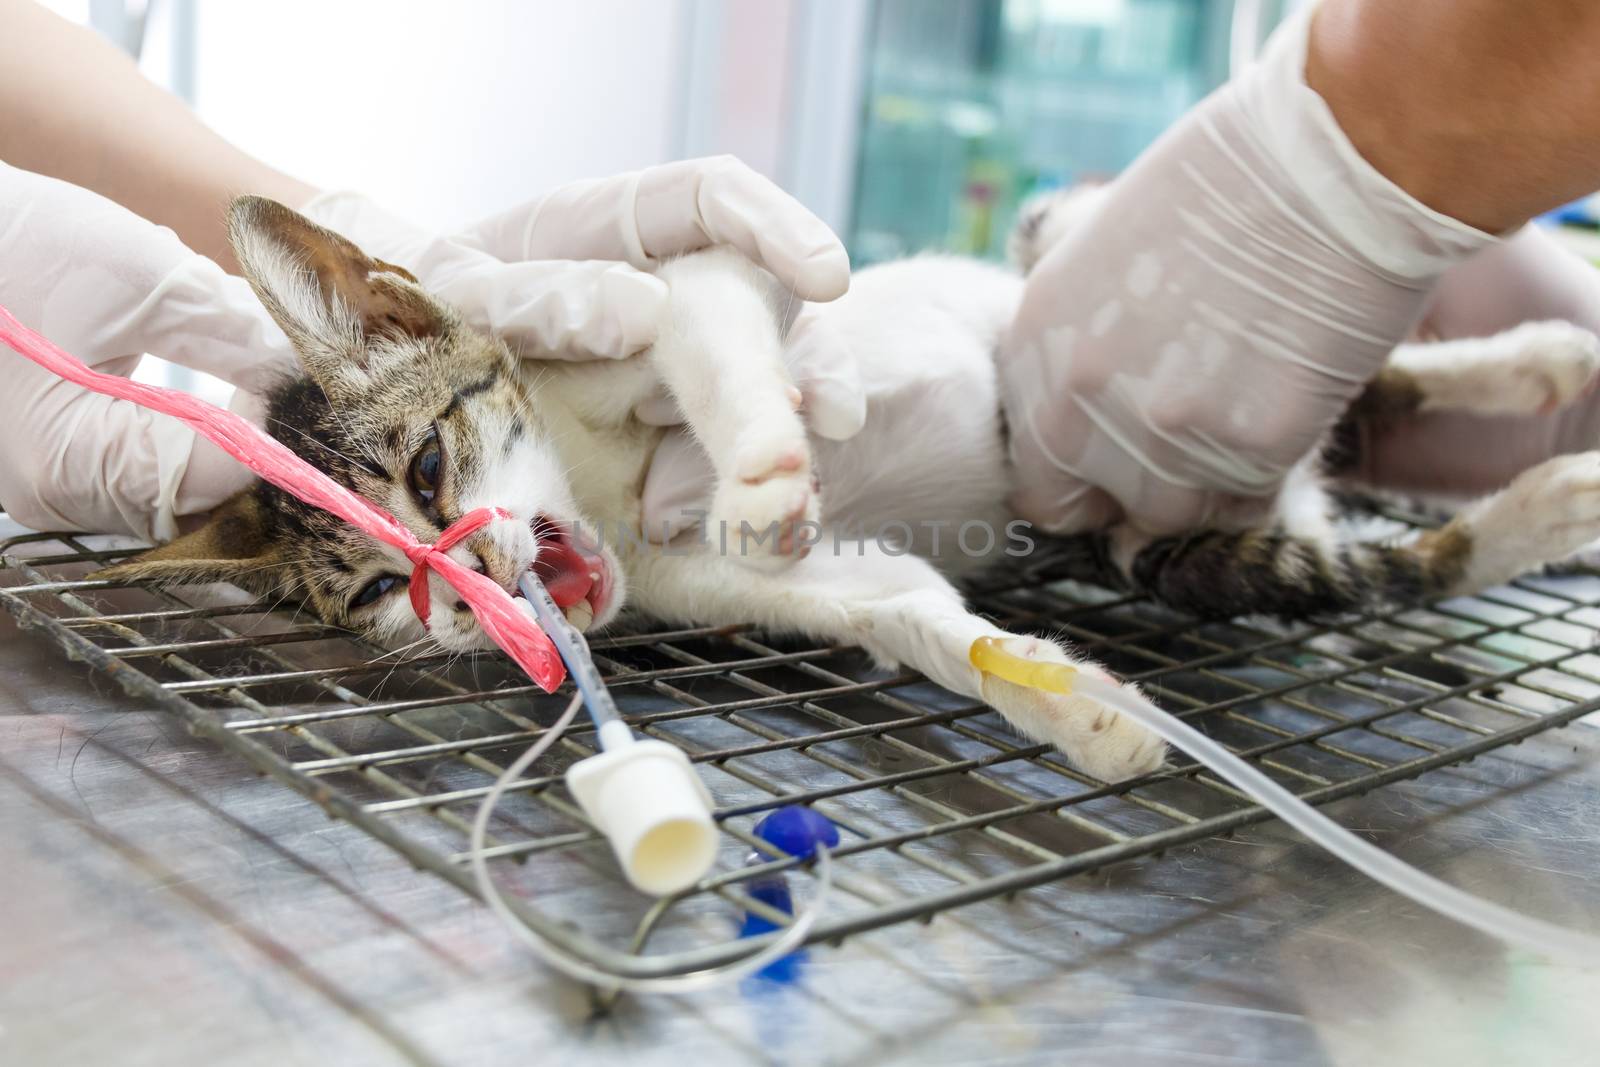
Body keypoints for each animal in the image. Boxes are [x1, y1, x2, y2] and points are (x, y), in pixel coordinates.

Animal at [96, 195, 1600, 783]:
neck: (607, 489)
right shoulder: (730, 583)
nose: (470, 603)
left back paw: (1545, 393)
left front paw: (762, 459)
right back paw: (1548, 441)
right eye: (382, 590)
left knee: (1368, 380)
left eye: (423, 470)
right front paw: (1079, 711)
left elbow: (715, 327)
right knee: (1380, 521)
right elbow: (908, 607)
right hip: (1176, 538)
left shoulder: (684, 281)